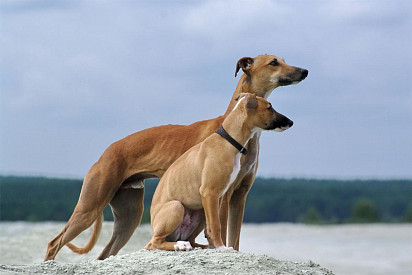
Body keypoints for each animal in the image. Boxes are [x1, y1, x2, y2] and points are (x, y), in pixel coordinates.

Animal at [145, 94, 292, 251]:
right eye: (269, 107)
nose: (291, 122)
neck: (228, 141)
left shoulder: (218, 197)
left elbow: (214, 225)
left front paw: (217, 246)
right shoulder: (210, 192)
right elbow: (216, 225)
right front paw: (222, 247)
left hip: (200, 212)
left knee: (191, 240)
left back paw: (203, 246)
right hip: (176, 207)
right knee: (154, 243)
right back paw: (180, 245)